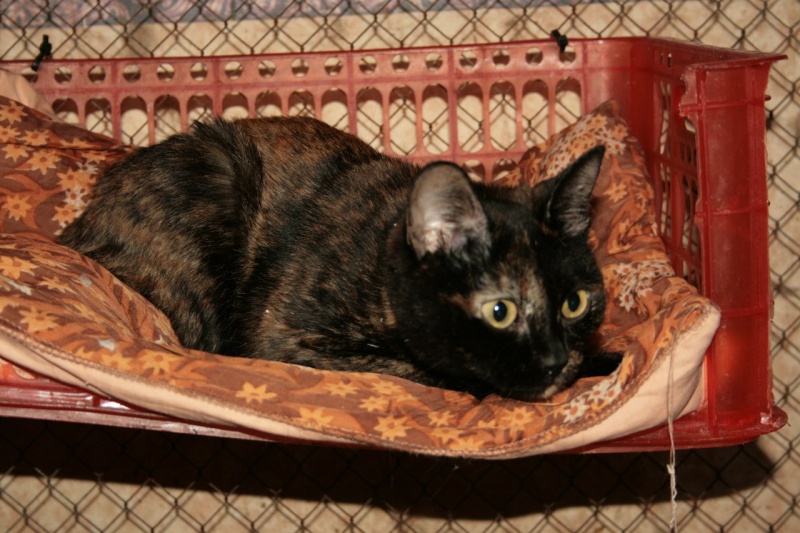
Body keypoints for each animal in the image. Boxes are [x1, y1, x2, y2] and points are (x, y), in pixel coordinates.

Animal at [58, 116, 621, 401]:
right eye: (499, 311)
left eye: (575, 303)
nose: (554, 359)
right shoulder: (283, 339)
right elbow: (421, 371)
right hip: (218, 175)